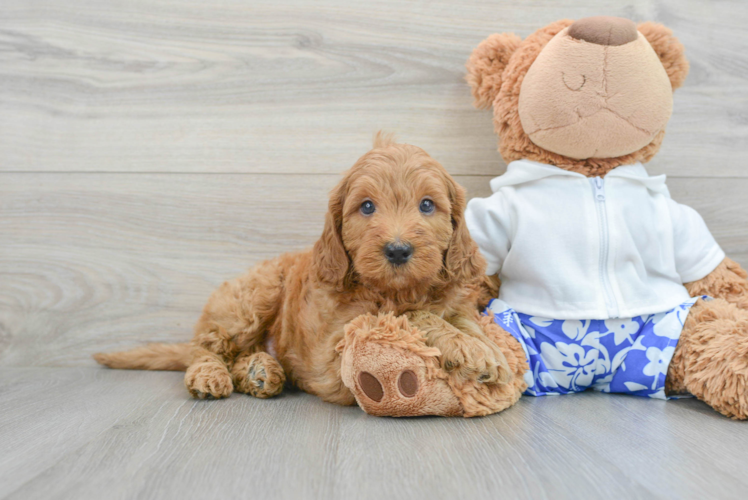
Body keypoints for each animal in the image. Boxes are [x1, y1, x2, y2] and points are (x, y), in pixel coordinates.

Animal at [95, 134, 508, 410]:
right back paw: (210, 375)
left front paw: (488, 352)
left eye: (426, 205)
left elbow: (463, 319)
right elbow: (408, 315)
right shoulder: (337, 345)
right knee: (208, 347)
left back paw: (260, 371)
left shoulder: (452, 301)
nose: (397, 249)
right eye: (367, 207)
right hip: (251, 298)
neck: (398, 288)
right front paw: (469, 350)